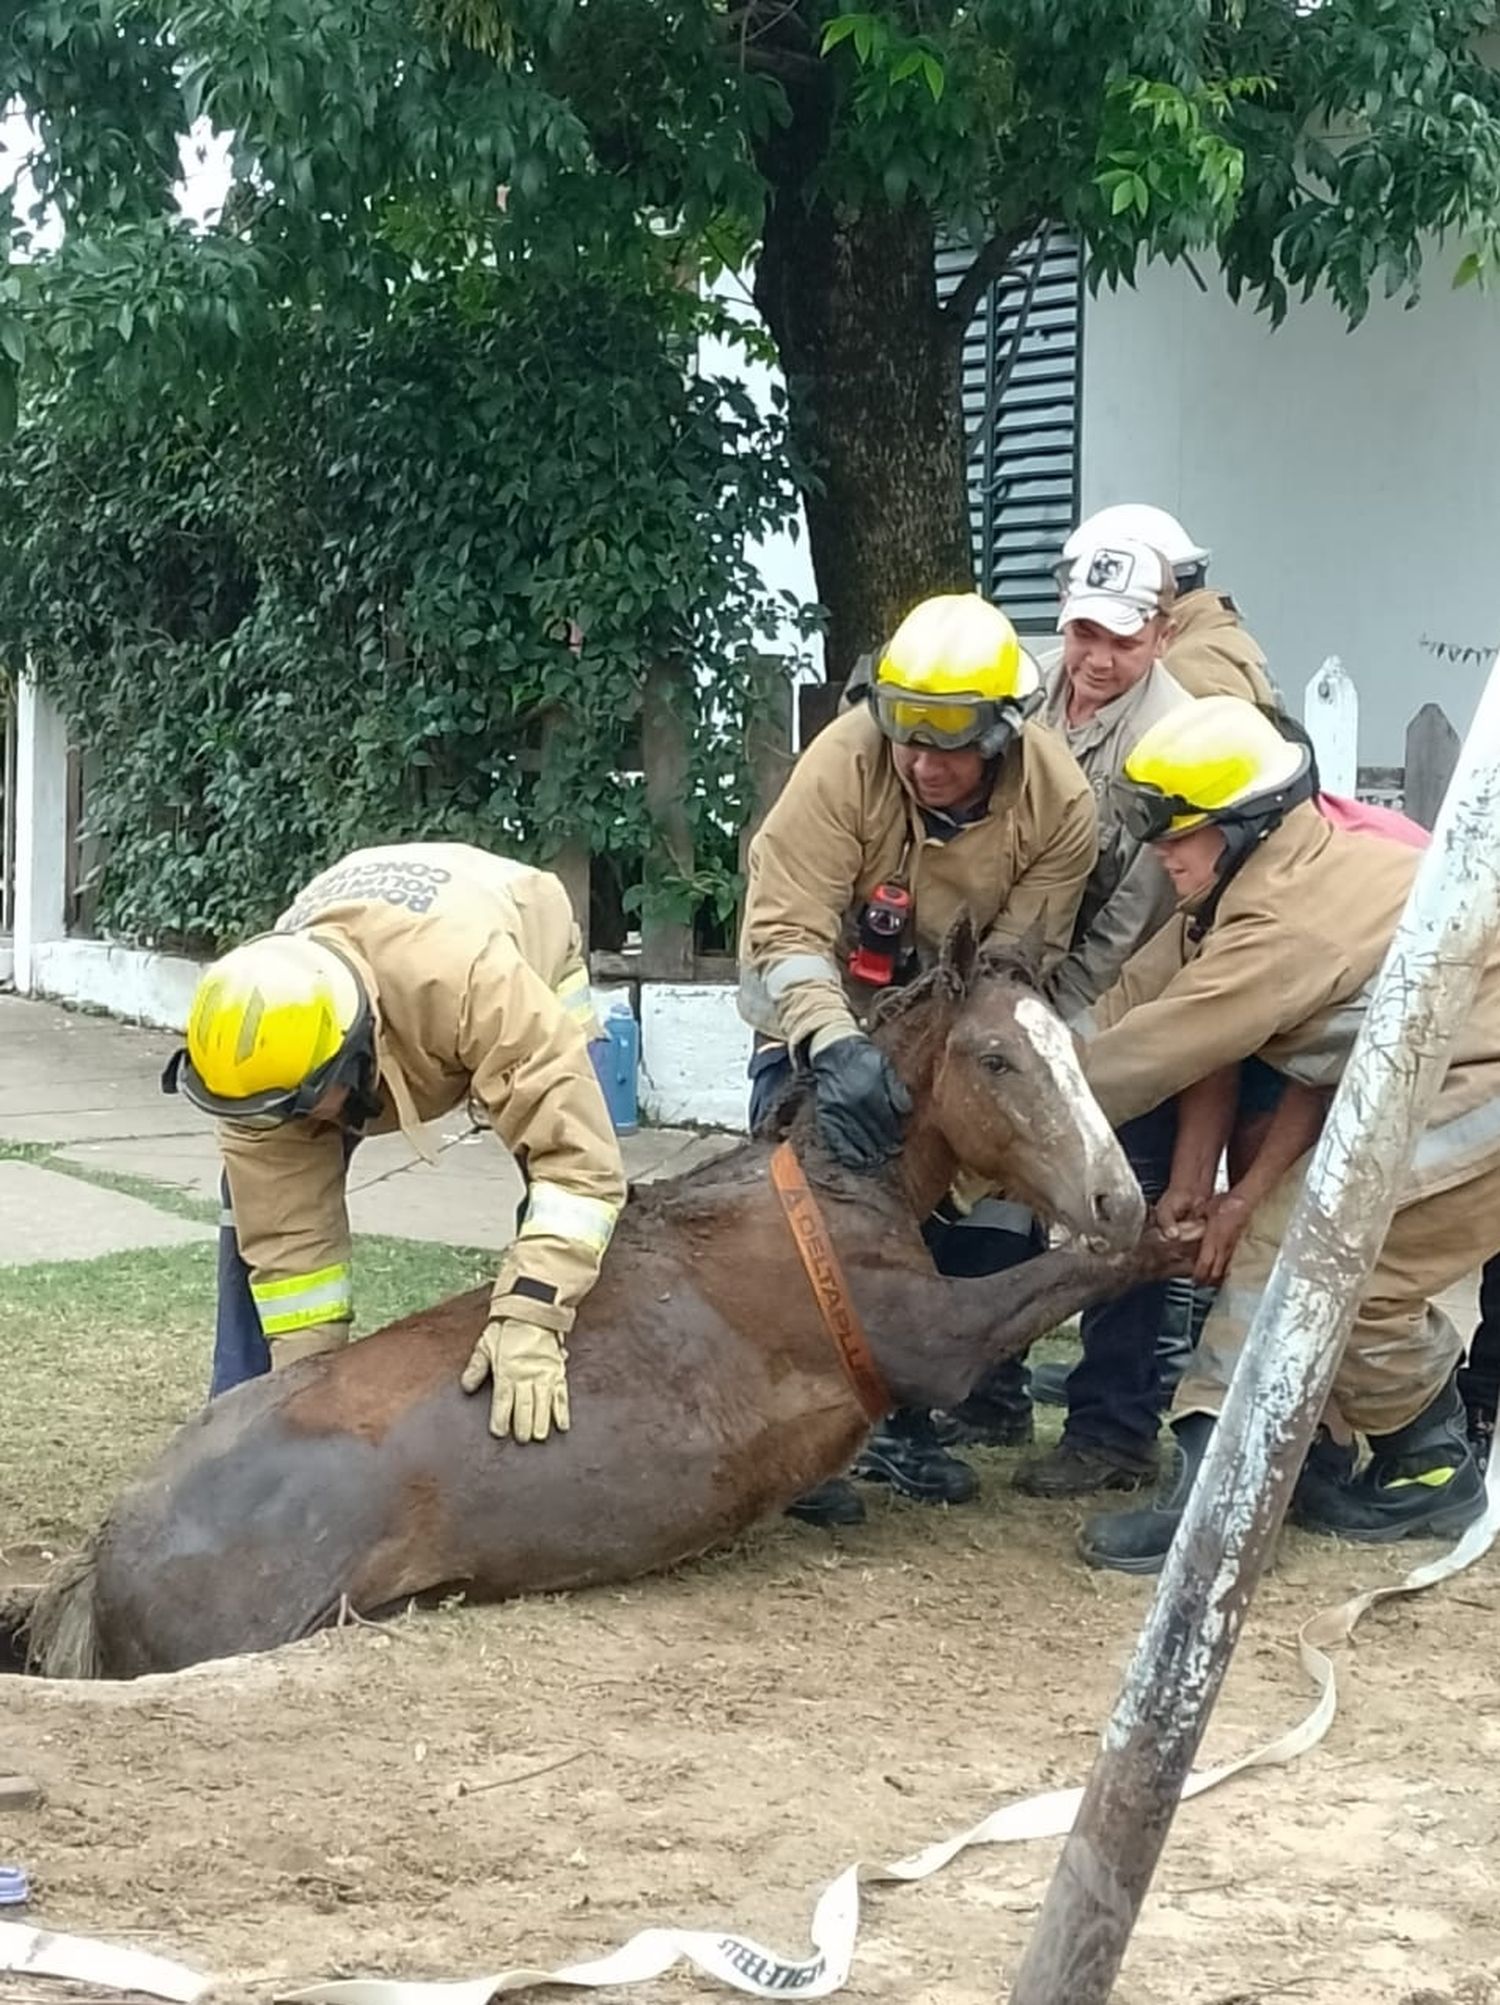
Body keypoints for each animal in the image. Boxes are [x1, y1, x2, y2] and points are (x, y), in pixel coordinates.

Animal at [14, 918, 1187, 1676]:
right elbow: (1073, 1272)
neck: (830, 1186)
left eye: (1066, 1045)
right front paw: (1183, 1230)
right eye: (996, 1057)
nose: (1114, 1190)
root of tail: (101, 1554)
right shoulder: (936, 1337)